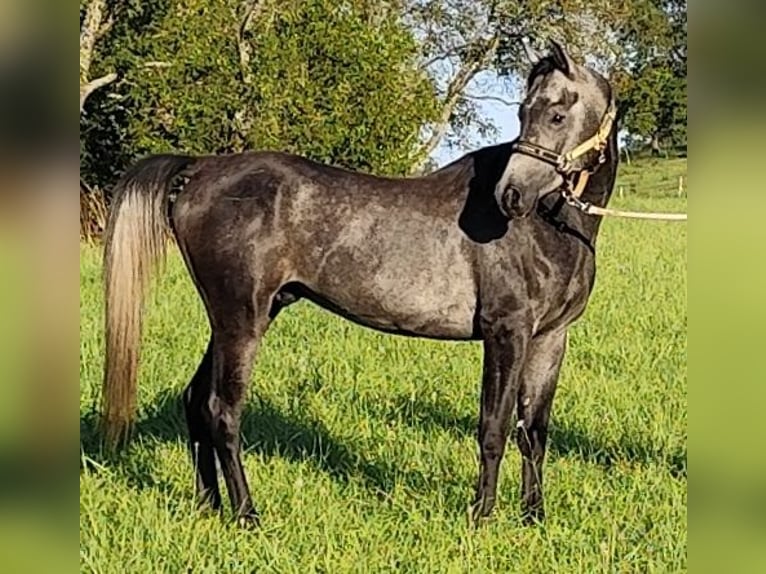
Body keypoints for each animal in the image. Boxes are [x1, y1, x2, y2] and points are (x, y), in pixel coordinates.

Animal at [100, 38, 616, 528]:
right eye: (524, 112)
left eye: (555, 113)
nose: (510, 195)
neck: (551, 226)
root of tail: (200, 169)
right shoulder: (505, 331)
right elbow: (495, 428)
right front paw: (482, 517)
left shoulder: (550, 338)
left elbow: (534, 432)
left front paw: (534, 516)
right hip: (241, 320)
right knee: (221, 411)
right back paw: (248, 514)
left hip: (238, 317)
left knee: (195, 400)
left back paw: (209, 505)